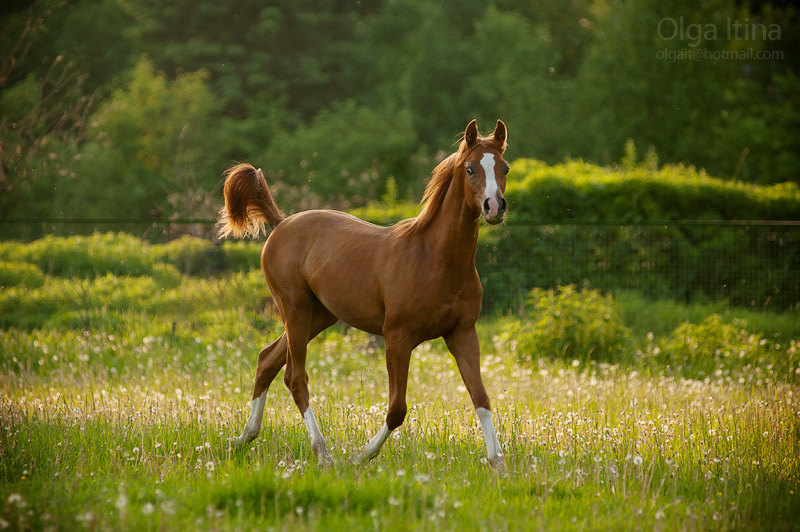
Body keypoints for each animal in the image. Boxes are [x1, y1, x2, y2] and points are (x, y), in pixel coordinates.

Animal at [217, 119, 506, 470]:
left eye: (504, 167)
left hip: (318, 316)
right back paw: (322, 453)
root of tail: (281, 223)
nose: (494, 207)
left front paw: (498, 464)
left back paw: (242, 439)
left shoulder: (462, 333)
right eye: (470, 169)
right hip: (295, 310)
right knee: (294, 377)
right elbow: (397, 409)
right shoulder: (397, 337)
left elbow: (481, 397)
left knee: (266, 361)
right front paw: (360, 456)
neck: (434, 258)